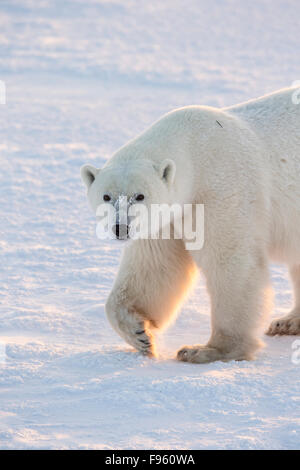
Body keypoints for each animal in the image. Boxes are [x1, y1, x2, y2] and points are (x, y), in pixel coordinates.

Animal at [80, 87, 300, 364]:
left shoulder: (221, 190)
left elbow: (230, 261)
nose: (121, 228)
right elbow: (156, 268)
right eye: (106, 196)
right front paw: (140, 334)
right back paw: (288, 322)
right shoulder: (167, 217)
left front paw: (207, 350)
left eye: (139, 196)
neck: (196, 151)